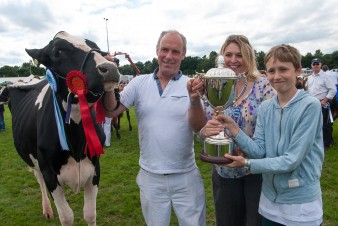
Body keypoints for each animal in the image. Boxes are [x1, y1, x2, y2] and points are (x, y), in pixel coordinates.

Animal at [0, 31, 119, 226]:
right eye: (58, 51)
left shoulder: (95, 169)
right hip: (32, 160)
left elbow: (90, 213)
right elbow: (67, 216)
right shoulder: (50, 174)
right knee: (38, 178)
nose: (110, 67)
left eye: (96, 46)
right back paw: (47, 209)